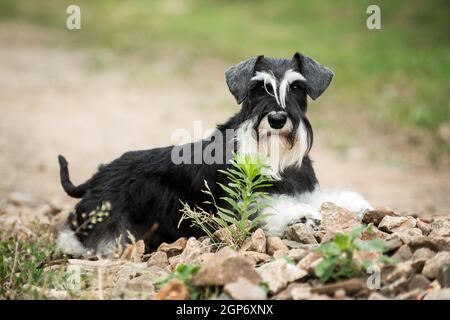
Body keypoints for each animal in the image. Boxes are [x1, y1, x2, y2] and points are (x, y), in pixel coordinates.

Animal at [56, 53, 372, 258]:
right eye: (258, 88)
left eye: (297, 86)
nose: (277, 119)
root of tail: (97, 176)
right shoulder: (240, 207)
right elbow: (272, 208)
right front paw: (300, 216)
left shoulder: (305, 189)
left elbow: (327, 198)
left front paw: (356, 203)